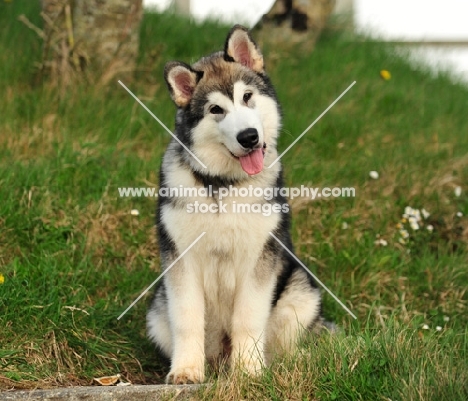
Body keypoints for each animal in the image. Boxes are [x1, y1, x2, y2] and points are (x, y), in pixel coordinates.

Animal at [146, 25, 330, 384]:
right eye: (216, 110)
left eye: (247, 97)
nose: (249, 136)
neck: (223, 186)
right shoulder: (181, 259)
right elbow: (187, 319)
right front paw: (186, 370)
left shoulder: (259, 257)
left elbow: (248, 317)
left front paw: (248, 372)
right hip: (158, 308)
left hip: (300, 291)